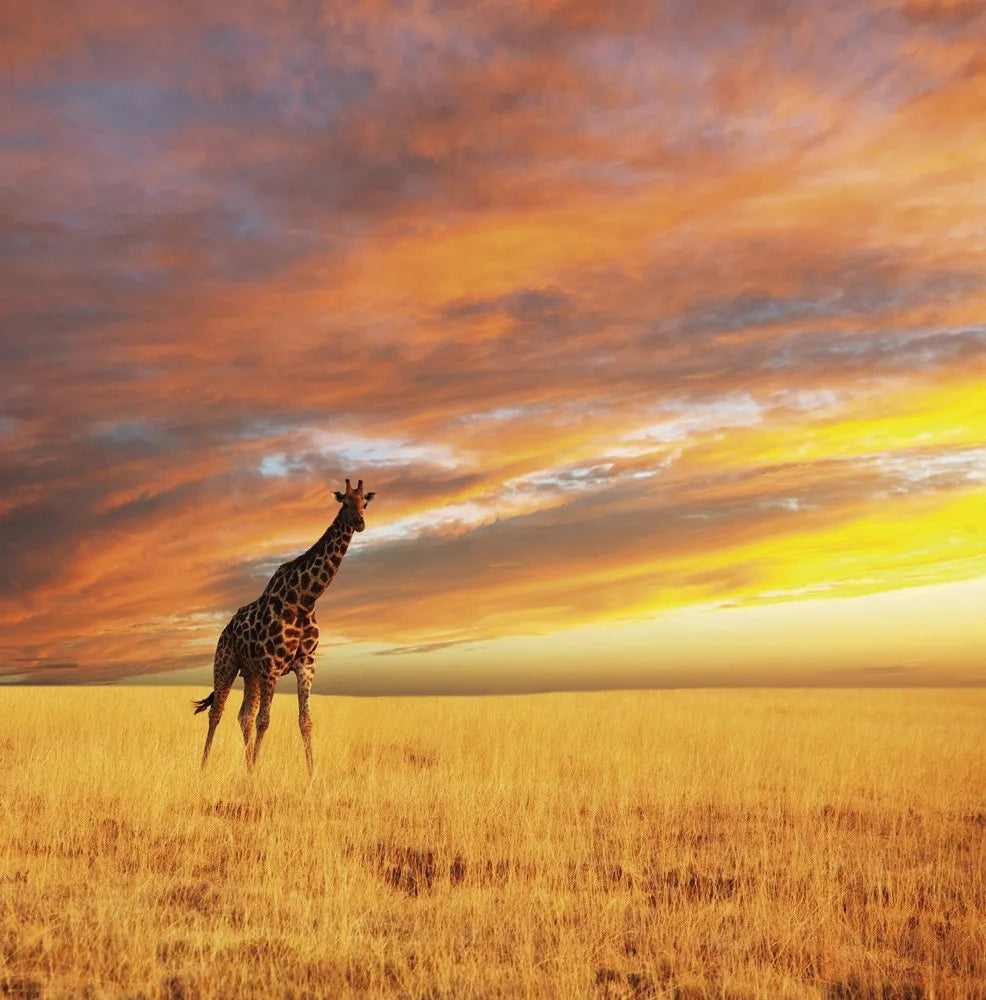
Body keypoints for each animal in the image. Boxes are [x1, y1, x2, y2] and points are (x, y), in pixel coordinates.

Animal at [194, 477, 375, 777]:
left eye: (365, 503)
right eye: (345, 502)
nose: (359, 523)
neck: (305, 600)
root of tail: (225, 630)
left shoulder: (306, 664)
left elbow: (305, 721)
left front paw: (312, 775)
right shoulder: (272, 666)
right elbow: (265, 720)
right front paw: (256, 775)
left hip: (251, 673)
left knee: (243, 715)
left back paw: (246, 767)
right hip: (226, 663)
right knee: (217, 712)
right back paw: (204, 767)